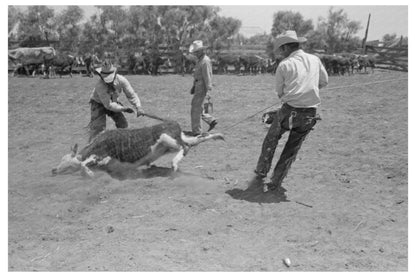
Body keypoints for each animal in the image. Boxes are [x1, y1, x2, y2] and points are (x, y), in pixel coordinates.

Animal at [52, 119, 226, 176]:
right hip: (174, 141)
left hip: (167, 138)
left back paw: (174, 164)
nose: (53, 170)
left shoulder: (101, 154)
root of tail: (173, 124)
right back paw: (219, 136)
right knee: (198, 139)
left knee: (185, 147)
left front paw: (89, 173)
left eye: (66, 161)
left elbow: (82, 164)